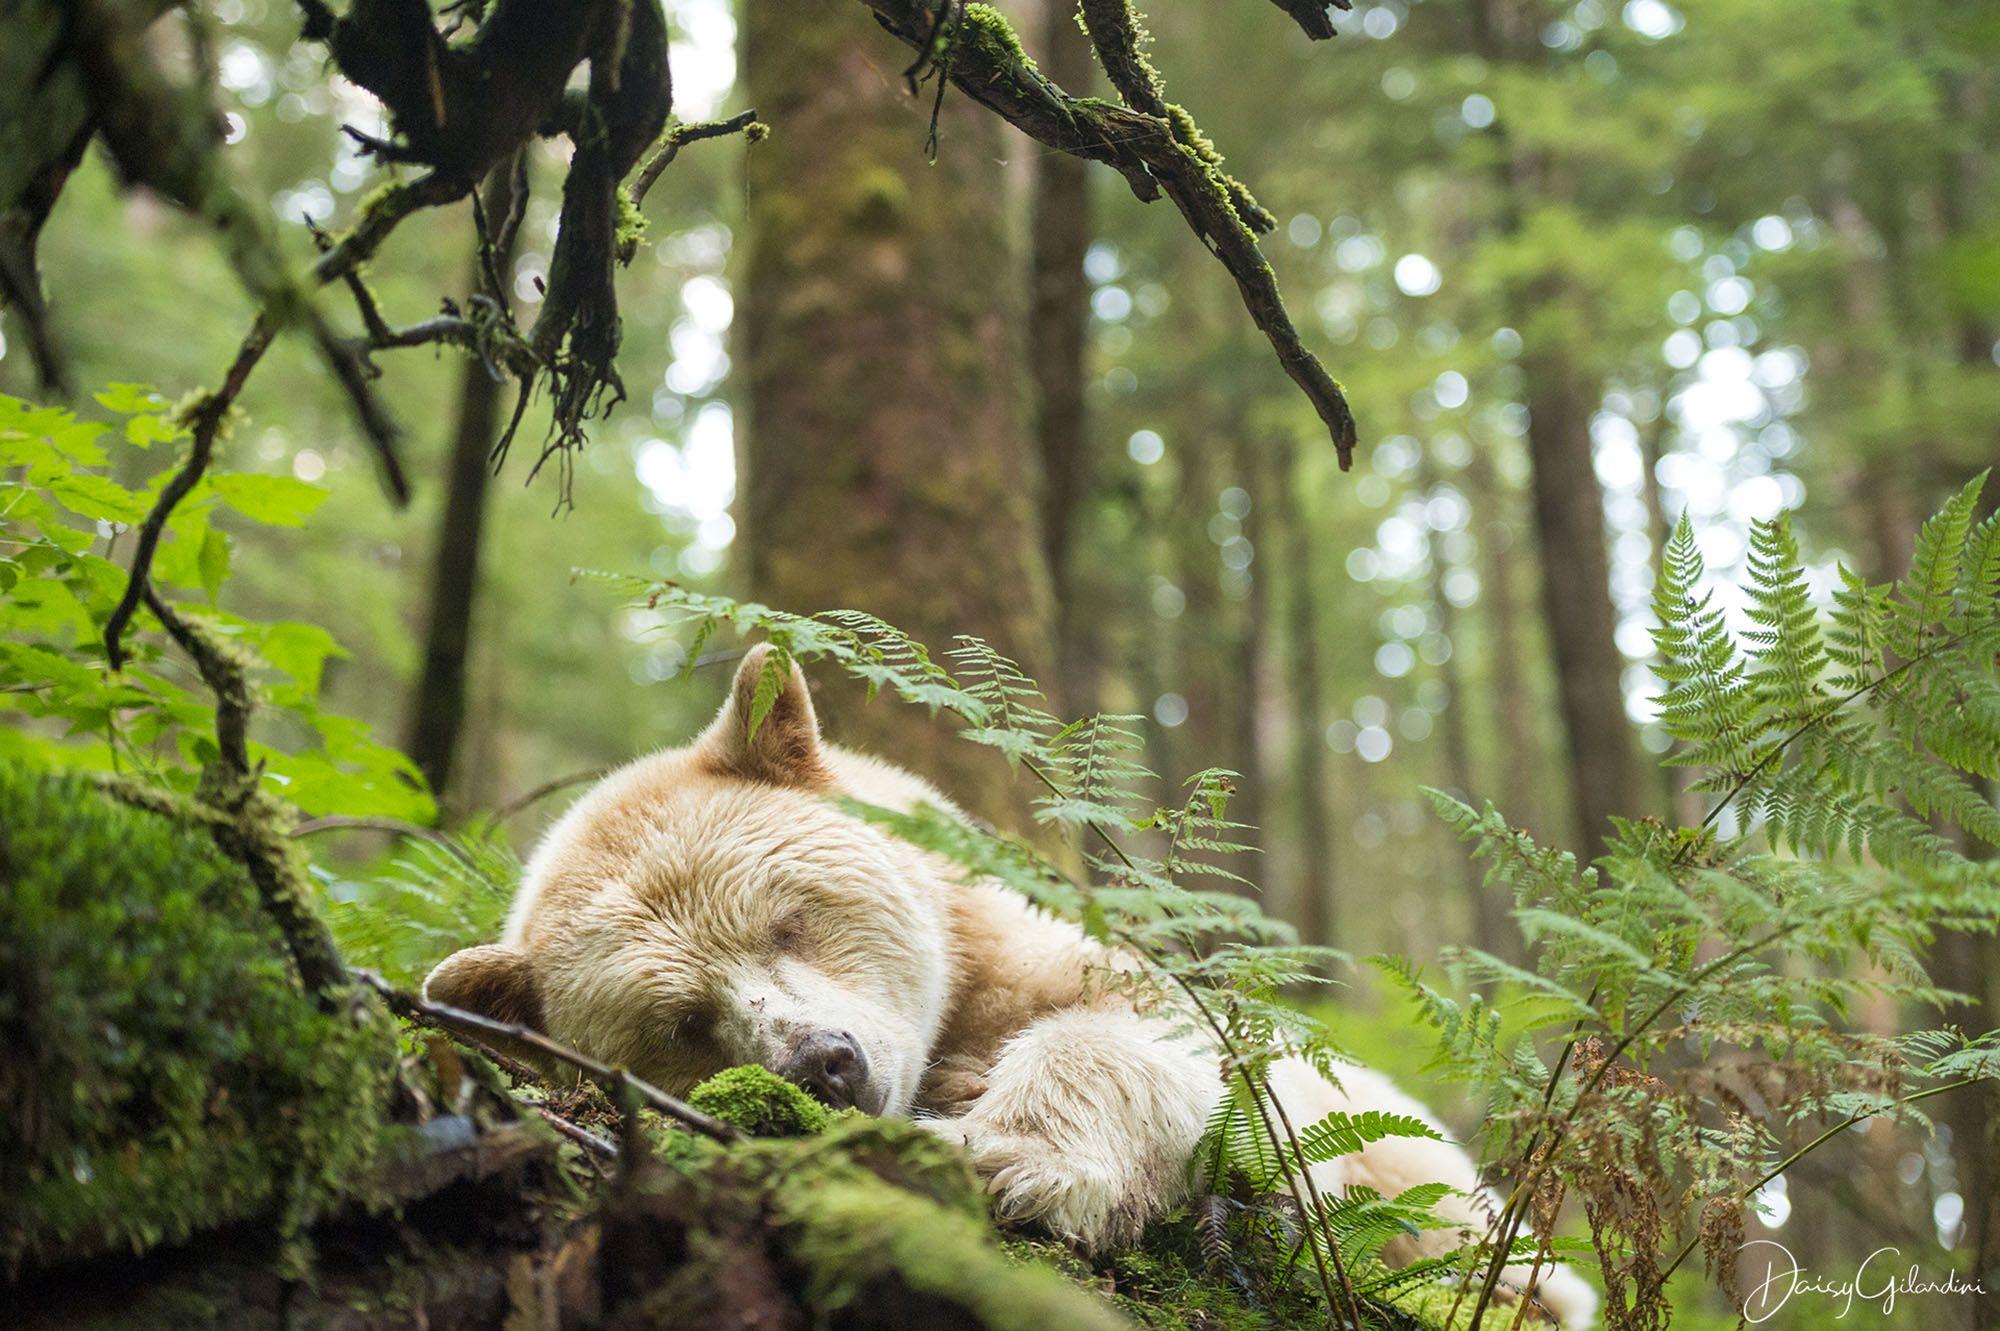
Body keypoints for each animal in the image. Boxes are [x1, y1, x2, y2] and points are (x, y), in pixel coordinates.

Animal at [425, 646, 1597, 1328]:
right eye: (681, 1022)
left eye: (787, 918)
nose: (827, 1061)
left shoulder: (1042, 955)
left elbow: (1163, 1040)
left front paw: (1003, 1150)